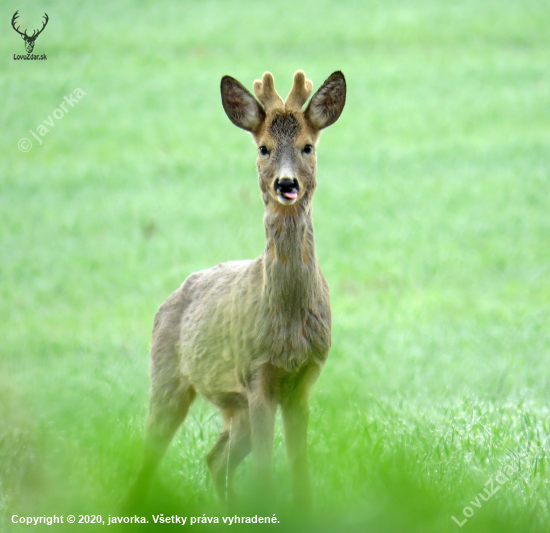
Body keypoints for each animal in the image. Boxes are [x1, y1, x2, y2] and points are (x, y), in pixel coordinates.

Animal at [128, 70, 348, 508]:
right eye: (263, 148)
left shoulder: (303, 380)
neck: (287, 323)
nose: (286, 183)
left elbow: (300, 472)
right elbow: (265, 472)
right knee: (150, 453)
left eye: (308, 146)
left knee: (216, 456)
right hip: (167, 376)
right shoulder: (256, 371)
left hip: (235, 405)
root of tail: (169, 299)